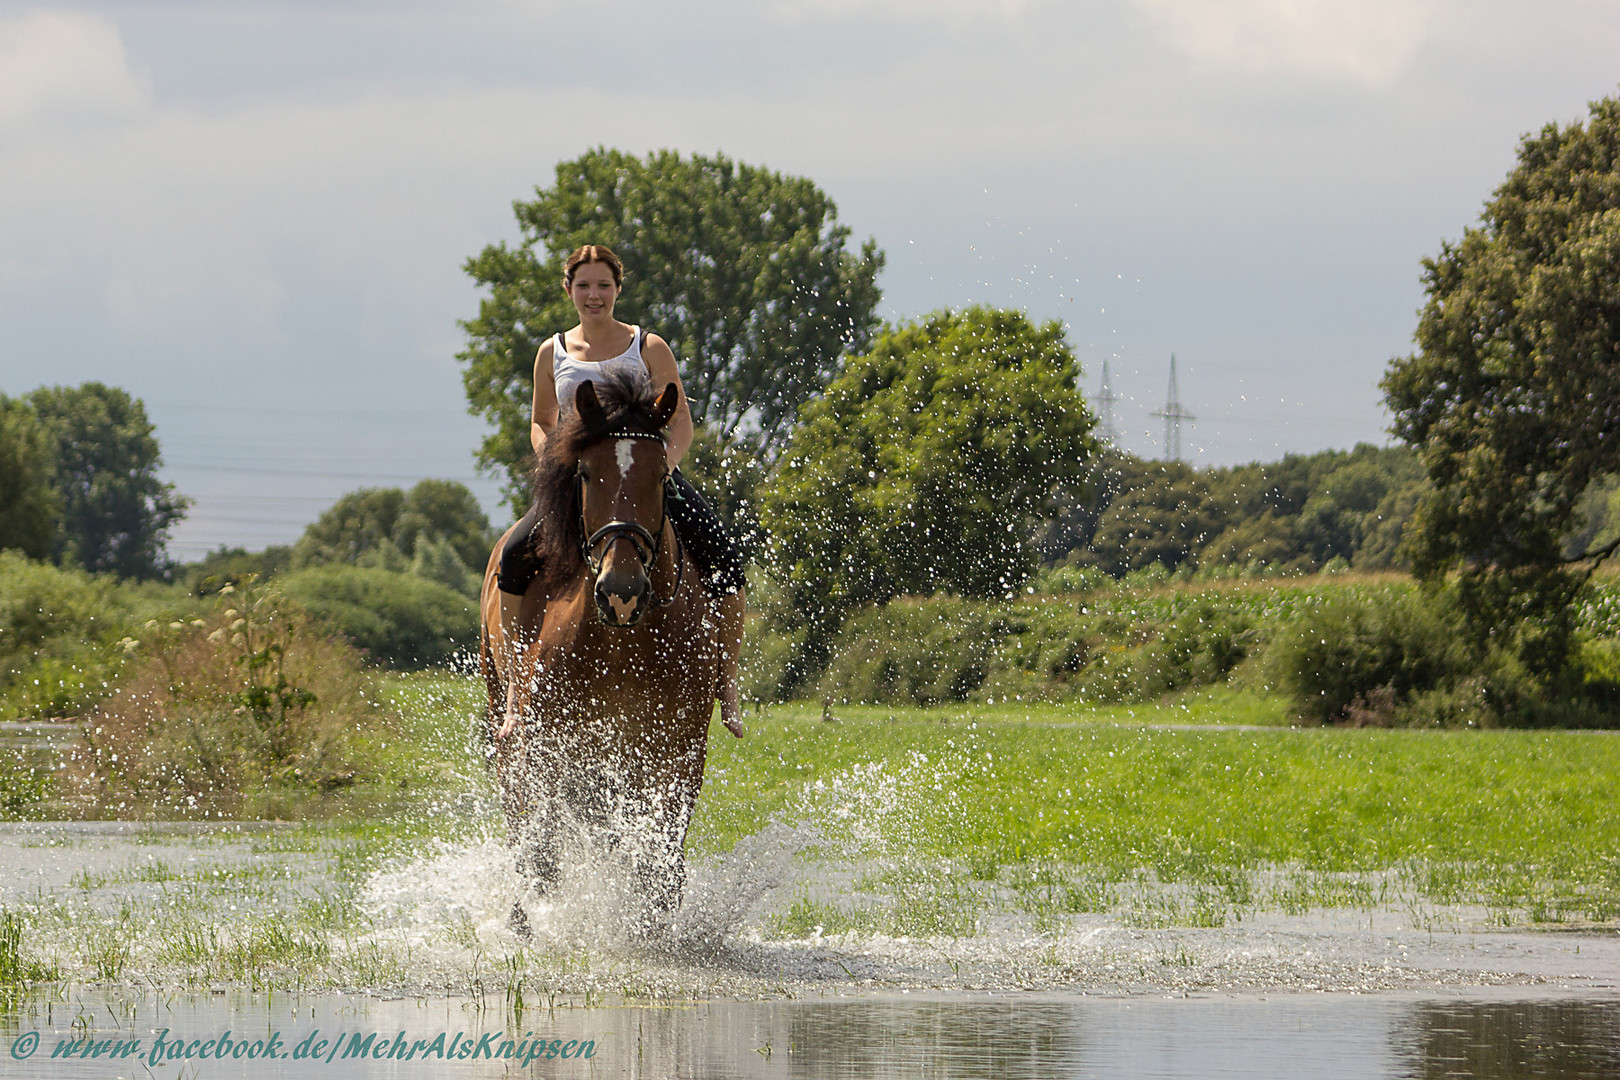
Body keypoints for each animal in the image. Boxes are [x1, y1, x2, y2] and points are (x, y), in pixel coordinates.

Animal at [473, 369, 741, 932]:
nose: (621, 590)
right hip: (502, 713)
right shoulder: (549, 744)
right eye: (587, 474)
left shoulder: (676, 749)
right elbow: (544, 844)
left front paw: (650, 921)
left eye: (661, 478)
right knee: (518, 811)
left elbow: (658, 848)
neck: (620, 644)